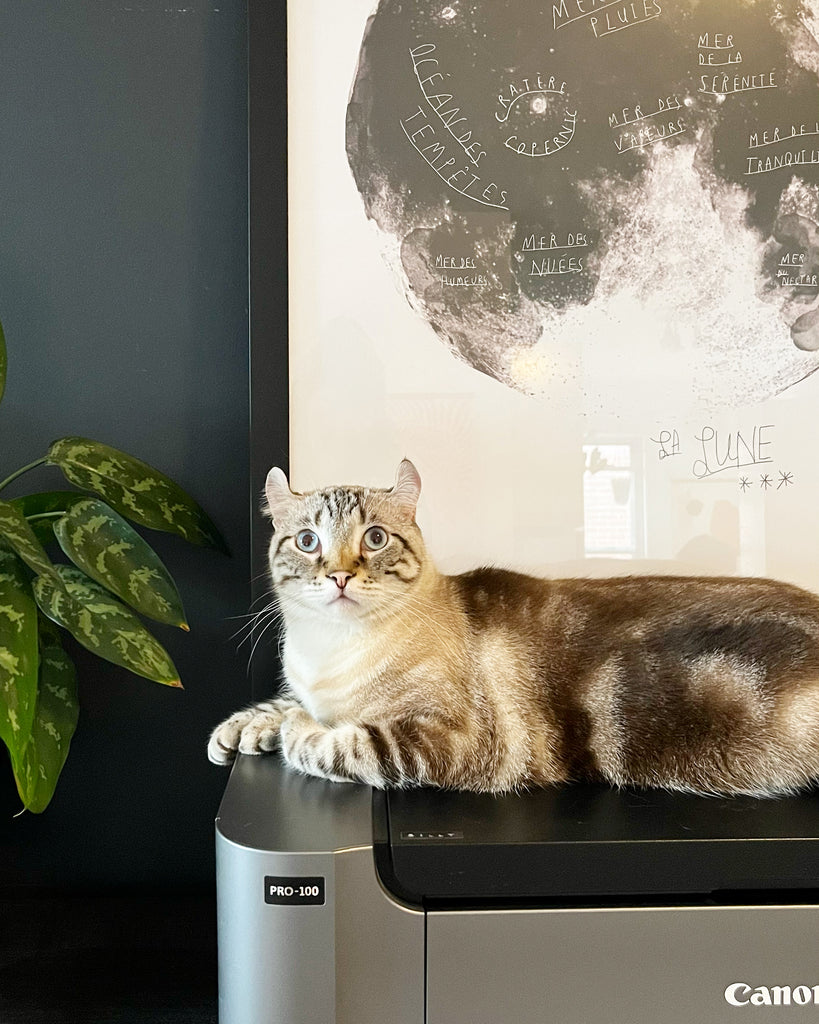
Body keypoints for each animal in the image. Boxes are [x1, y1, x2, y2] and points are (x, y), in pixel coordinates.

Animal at [206, 460, 819, 794]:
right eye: (308, 541)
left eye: (375, 538)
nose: (338, 576)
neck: (328, 654)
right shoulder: (310, 689)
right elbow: (283, 703)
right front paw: (240, 731)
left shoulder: (452, 740)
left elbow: (339, 743)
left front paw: (294, 732)